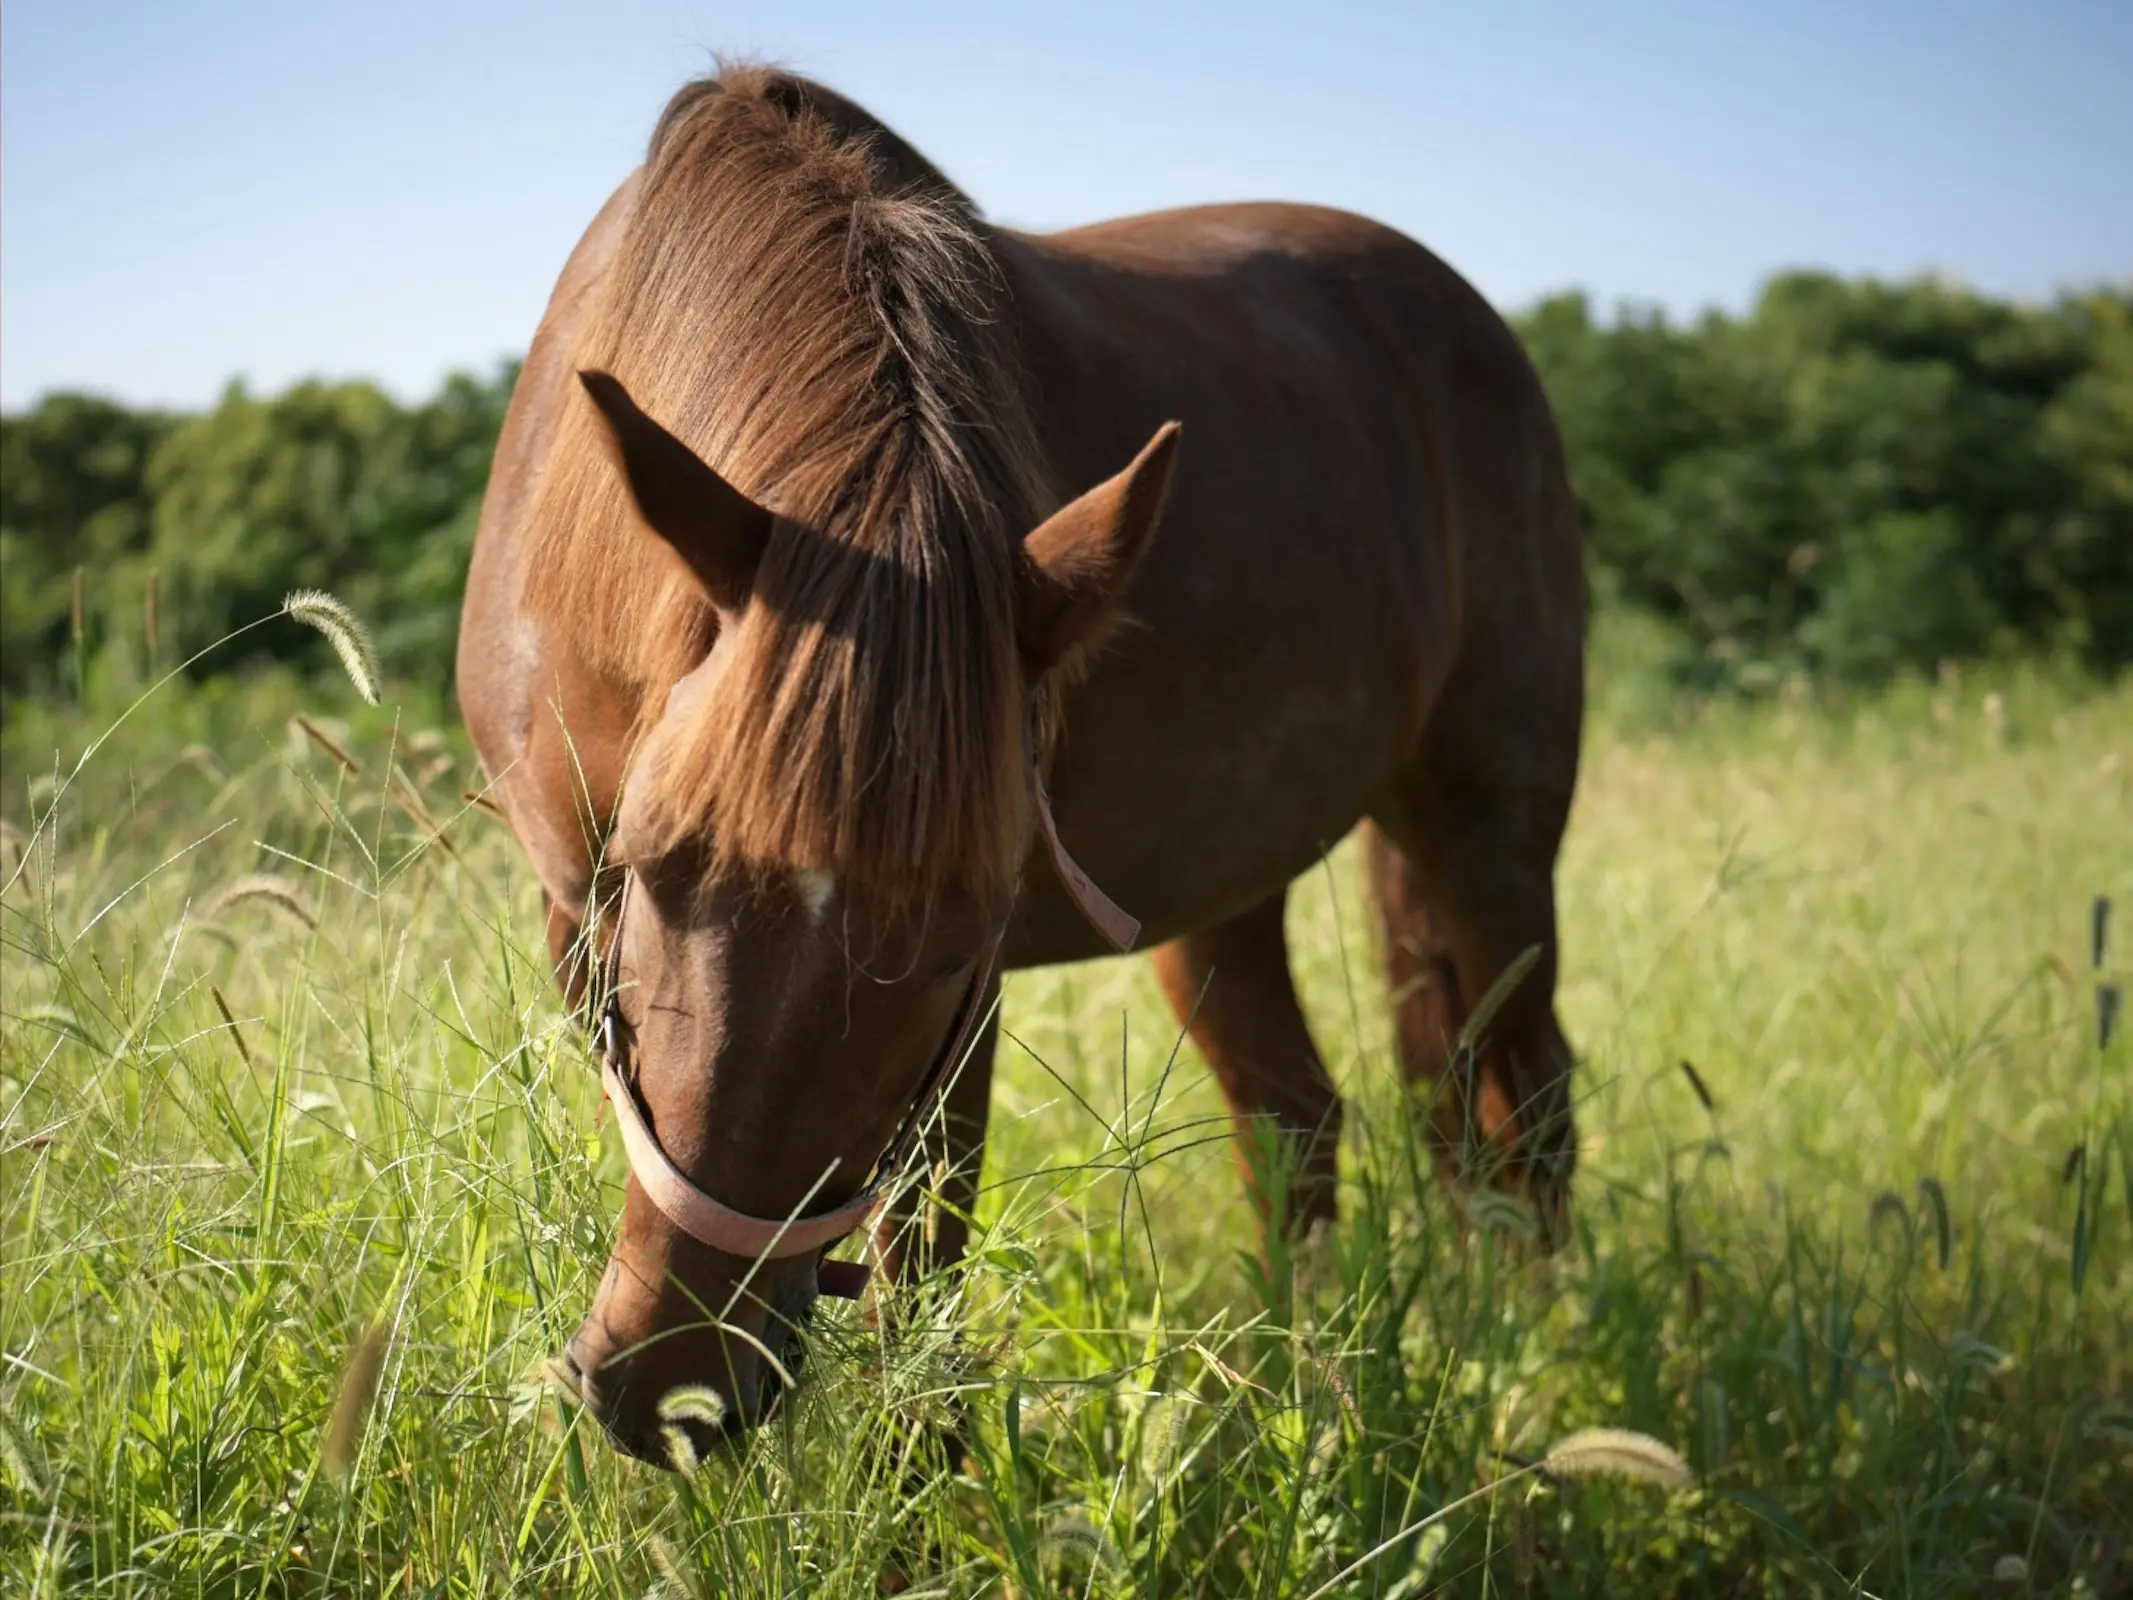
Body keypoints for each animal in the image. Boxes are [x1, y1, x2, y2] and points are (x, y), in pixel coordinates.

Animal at [454, 62, 1586, 1467]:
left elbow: (918, 1273)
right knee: (1299, 1124)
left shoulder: (970, 1011)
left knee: (1527, 1111)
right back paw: (1293, 1388)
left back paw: (1538, 1377)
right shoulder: (575, 918)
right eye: (660, 868)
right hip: (1220, 888)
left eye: (955, 937)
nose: (667, 1390)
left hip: (1491, 828)